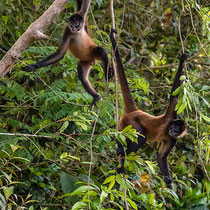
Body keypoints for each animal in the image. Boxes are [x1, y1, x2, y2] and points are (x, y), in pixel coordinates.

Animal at [110, 29, 188, 184]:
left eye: (177, 129)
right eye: (173, 126)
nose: (173, 129)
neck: (167, 130)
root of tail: (136, 111)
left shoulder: (173, 139)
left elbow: (161, 156)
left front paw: (168, 180)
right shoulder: (171, 115)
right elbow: (174, 97)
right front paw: (182, 60)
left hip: (125, 123)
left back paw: (120, 150)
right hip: (131, 121)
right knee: (141, 137)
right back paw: (122, 158)